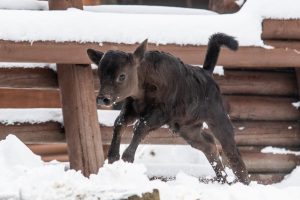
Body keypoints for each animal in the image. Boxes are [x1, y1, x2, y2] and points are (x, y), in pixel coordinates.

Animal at [88, 33, 250, 184]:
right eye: (100, 74)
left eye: (122, 76)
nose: (103, 98)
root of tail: (206, 73)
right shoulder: (131, 108)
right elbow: (119, 123)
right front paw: (113, 158)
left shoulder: (162, 113)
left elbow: (140, 126)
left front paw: (127, 157)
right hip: (187, 128)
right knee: (209, 145)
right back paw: (223, 179)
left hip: (217, 118)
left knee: (232, 151)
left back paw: (243, 181)